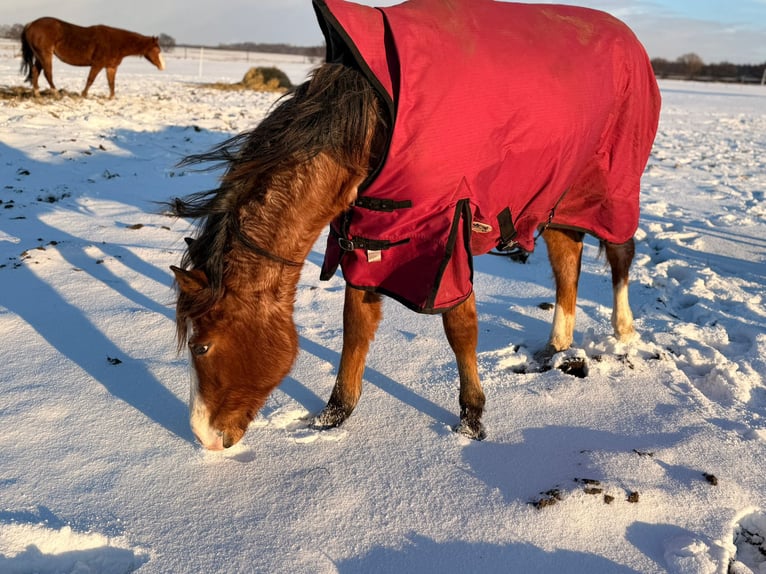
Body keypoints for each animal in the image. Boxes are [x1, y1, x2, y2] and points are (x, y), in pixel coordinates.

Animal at [20, 17, 165, 99]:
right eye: (157, 50)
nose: (162, 67)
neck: (116, 42)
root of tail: (30, 25)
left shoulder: (111, 67)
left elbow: (111, 83)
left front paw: (111, 97)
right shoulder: (97, 64)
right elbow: (90, 80)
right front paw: (83, 95)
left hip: (39, 56)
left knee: (35, 72)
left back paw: (37, 94)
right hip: (45, 55)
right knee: (47, 73)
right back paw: (56, 93)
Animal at [169, 0, 661, 450]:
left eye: (201, 346)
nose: (203, 437)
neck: (371, 127)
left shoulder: (448, 236)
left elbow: (460, 329)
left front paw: (471, 420)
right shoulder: (372, 239)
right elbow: (356, 326)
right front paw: (332, 417)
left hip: (612, 189)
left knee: (621, 255)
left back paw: (624, 332)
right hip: (561, 199)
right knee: (567, 265)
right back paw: (557, 345)